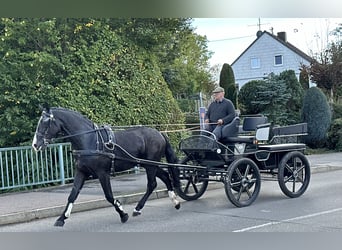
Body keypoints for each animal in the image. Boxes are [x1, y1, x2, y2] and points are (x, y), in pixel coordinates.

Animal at [32, 106, 182, 228]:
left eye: (45, 122)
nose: (35, 145)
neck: (89, 140)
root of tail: (159, 133)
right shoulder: (81, 172)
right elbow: (72, 195)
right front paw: (62, 218)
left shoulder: (102, 173)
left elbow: (109, 196)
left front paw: (122, 213)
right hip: (148, 164)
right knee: (165, 176)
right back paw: (175, 202)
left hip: (150, 165)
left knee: (152, 184)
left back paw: (138, 208)